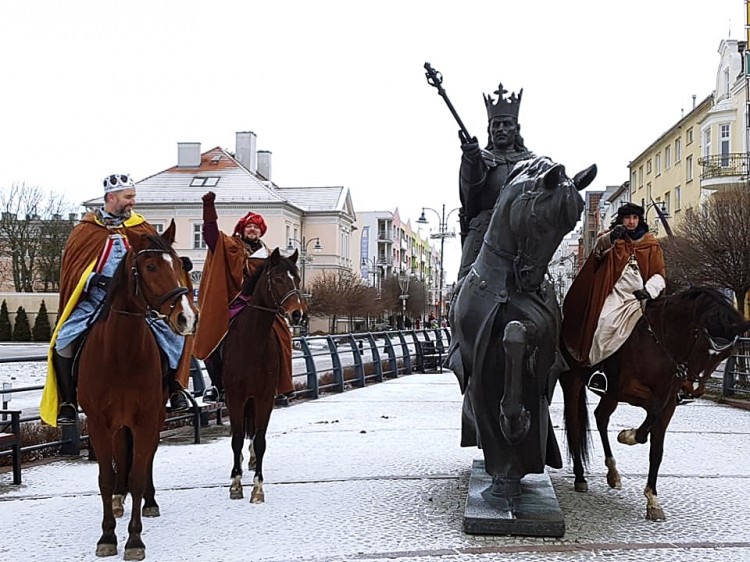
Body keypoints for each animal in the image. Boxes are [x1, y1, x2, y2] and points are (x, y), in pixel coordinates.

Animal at [77, 221, 197, 556]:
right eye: (151, 266)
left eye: (178, 263)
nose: (186, 317)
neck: (121, 354)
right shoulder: (99, 423)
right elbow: (106, 477)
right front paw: (107, 536)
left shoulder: (146, 419)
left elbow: (139, 473)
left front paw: (134, 540)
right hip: (119, 424)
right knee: (121, 457)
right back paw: (119, 500)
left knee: (146, 460)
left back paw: (149, 501)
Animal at [225, 247, 306, 500]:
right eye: (278, 279)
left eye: (297, 279)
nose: (298, 314)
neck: (252, 340)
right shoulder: (235, 397)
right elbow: (236, 439)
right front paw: (236, 483)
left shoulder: (265, 397)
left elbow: (260, 440)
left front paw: (258, 487)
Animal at [564, 286, 750, 520]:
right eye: (700, 343)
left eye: (725, 355)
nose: (692, 389)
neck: (661, 343)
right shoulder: (627, 389)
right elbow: (650, 416)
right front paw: (627, 435)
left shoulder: (668, 404)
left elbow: (657, 450)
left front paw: (652, 499)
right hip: (573, 379)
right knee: (574, 423)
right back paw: (580, 476)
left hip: (609, 395)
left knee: (601, 417)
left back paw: (613, 473)